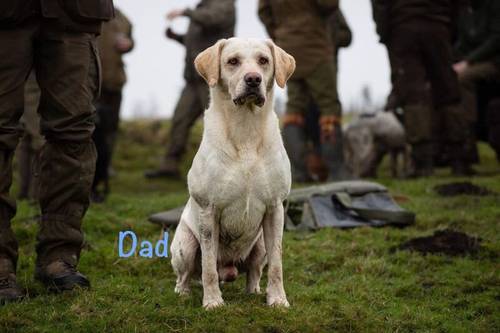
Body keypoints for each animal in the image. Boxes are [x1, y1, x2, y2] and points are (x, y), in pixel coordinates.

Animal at [171, 37, 296, 308]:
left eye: (263, 60)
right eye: (233, 61)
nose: (253, 79)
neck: (246, 130)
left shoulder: (275, 208)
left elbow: (277, 265)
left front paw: (278, 300)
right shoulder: (209, 210)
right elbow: (208, 266)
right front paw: (212, 302)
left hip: (259, 245)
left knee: (255, 271)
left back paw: (254, 291)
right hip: (185, 244)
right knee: (186, 275)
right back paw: (184, 293)